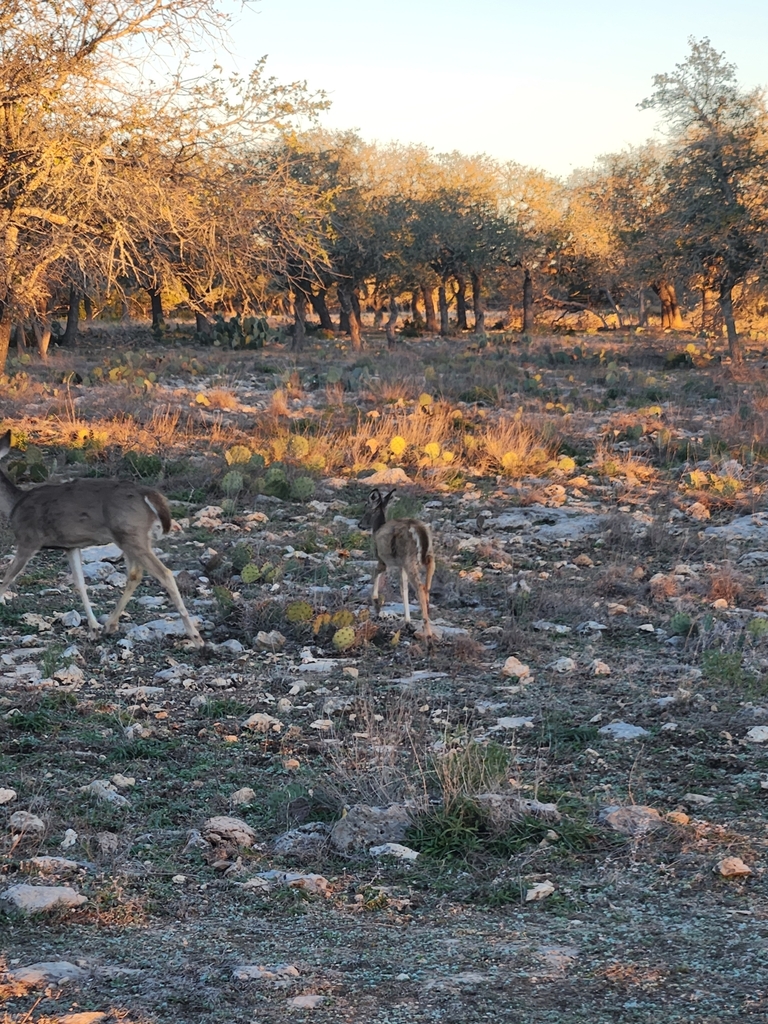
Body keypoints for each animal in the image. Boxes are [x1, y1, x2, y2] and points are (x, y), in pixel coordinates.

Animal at [0, 430, 203, 647]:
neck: (14, 505)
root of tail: (147, 494)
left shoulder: (28, 539)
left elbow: (7, 577)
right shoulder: (70, 546)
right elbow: (80, 583)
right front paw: (94, 628)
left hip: (131, 535)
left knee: (164, 573)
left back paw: (195, 637)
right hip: (132, 537)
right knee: (135, 574)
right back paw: (110, 626)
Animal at [358, 488, 435, 638]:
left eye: (366, 506)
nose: (360, 524)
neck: (378, 528)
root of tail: (420, 531)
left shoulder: (382, 559)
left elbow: (376, 574)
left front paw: (376, 604)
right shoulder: (400, 566)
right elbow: (403, 589)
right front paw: (407, 622)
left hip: (409, 559)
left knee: (420, 588)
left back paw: (428, 635)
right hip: (427, 556)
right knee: (427, 586)